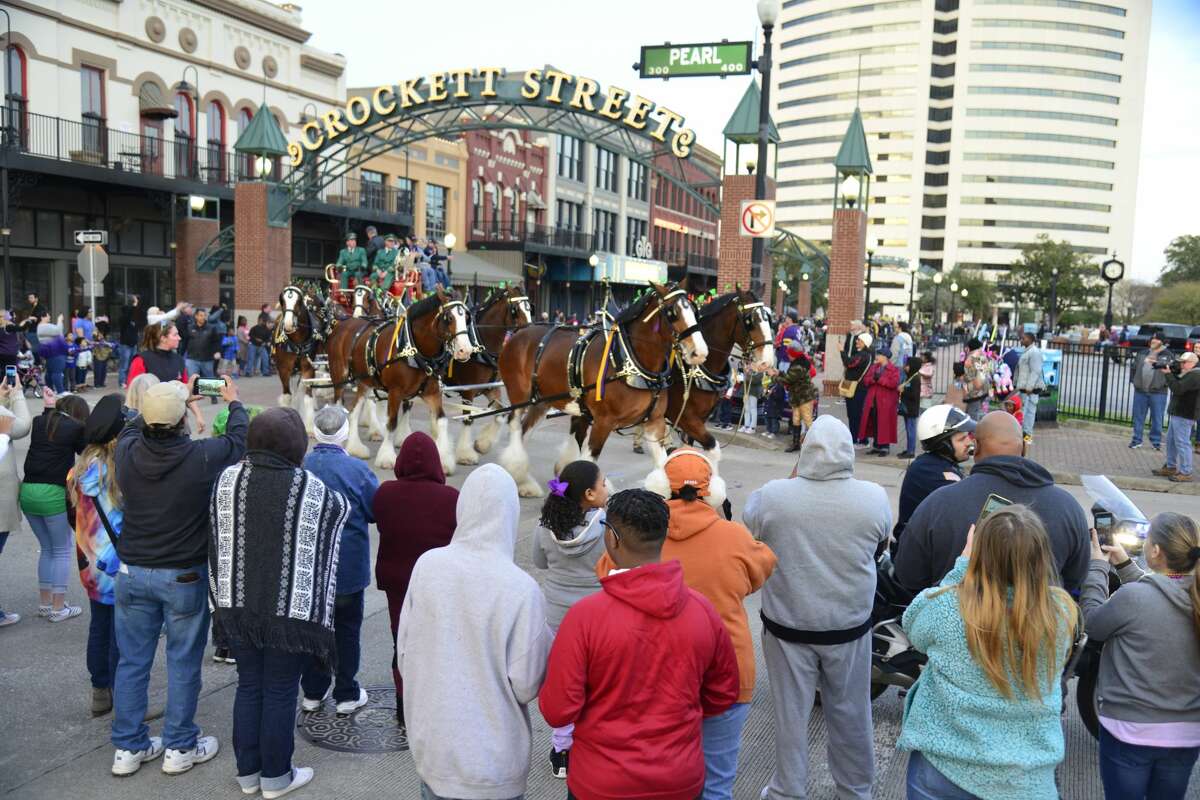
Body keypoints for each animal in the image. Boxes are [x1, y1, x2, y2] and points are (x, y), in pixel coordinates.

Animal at [324, 287, 472, 472]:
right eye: (449, 318)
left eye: (466, 318)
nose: (465, 350)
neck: (413, 349)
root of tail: (341, 325)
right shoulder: (395, 392)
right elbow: (392, 423)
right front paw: (387, 458)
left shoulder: (432, 392)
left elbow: (442, 421)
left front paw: (444, 461)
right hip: (340, 378)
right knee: (338, 406)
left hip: (364, 382)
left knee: (353, 411)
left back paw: (355, 448)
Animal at [494, 280, 705, 494]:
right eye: (672, 313)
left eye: (695, 311)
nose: (700, 352)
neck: (628, 359)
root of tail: (519, 332)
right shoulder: (603, 421)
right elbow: (589, 460)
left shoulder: (654, 422)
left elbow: (662, 466)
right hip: (520, 395)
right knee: (514, 424)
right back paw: (517, 472)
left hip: (542, 401)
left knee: (525, 430)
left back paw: (523, 481)